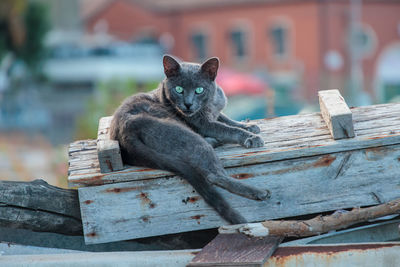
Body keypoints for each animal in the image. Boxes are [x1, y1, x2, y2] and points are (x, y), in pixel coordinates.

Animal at [111, 55, 270, 225]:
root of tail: (124, 133)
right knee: (213, 175)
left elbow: (226, 119)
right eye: (178, 89)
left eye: (199, 90)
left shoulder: (214, 114)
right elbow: (227, 129)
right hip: (188, 135)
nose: (188, 104)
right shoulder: (204, 124)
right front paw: (251, 137)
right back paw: (259, 192)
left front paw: (250, 126)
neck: (210, 102)